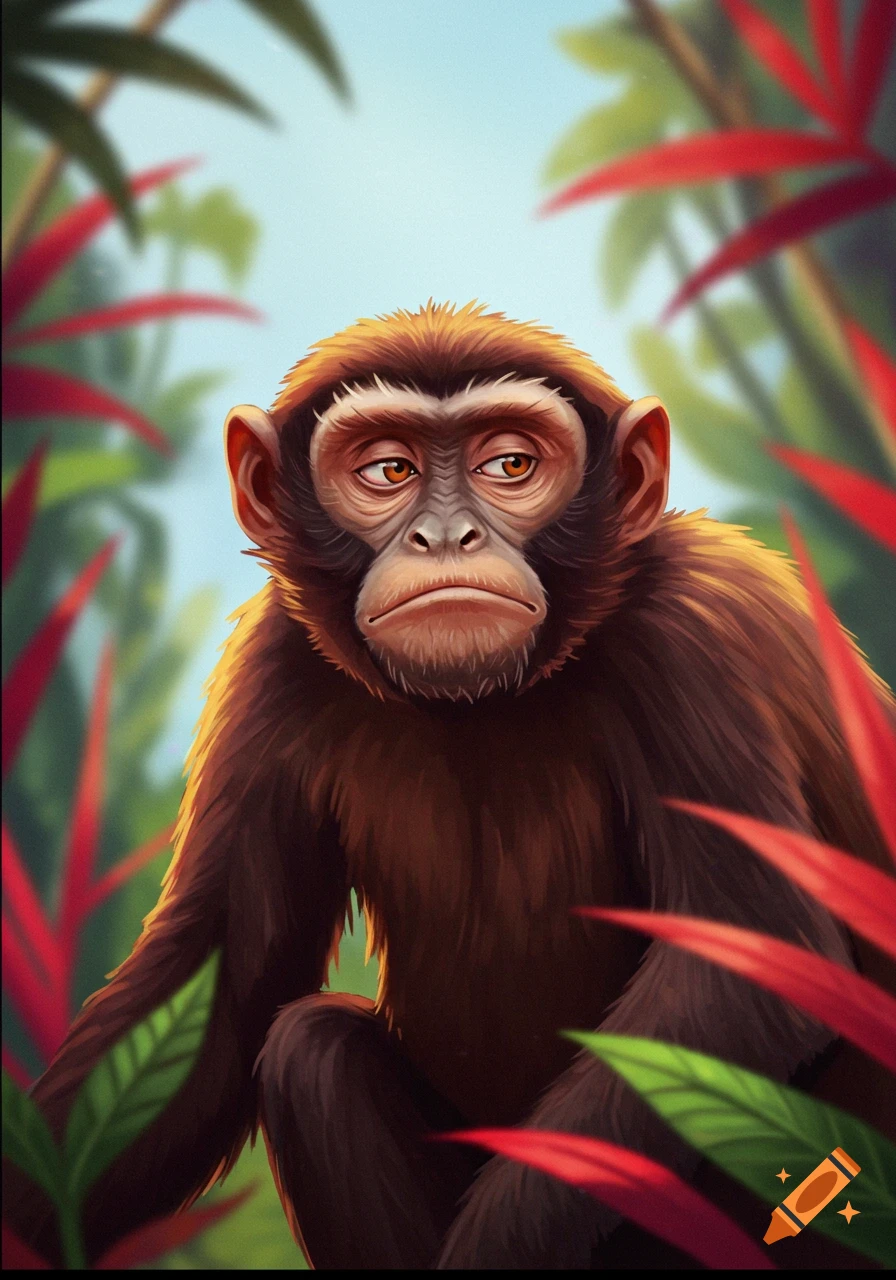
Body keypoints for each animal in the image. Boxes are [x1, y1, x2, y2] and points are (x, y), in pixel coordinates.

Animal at [4, 301, 894, 1270]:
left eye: (510, 466)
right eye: (387, 469)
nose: (444, 536)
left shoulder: (693, 637)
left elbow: (744, 966)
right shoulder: (273, 661)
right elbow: (219, 981)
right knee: (312, 1048)